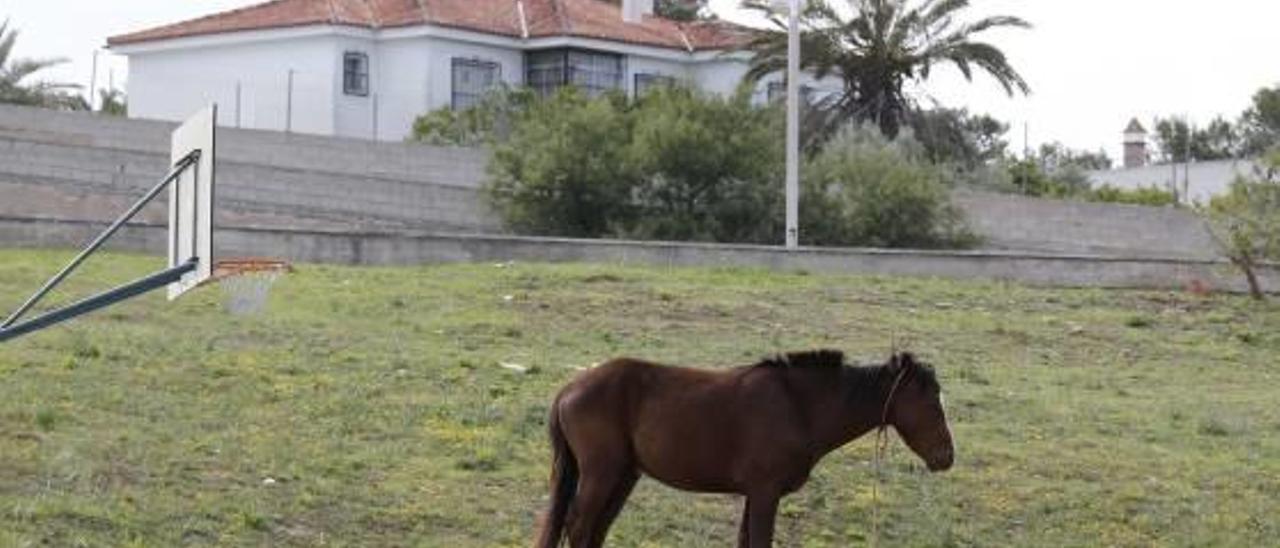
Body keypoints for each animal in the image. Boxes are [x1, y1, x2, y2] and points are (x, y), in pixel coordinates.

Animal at [529, 348, 952, 545]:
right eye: (932, 401)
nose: (947, 456)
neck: (798, 405)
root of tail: (570, 387)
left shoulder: (755, 493)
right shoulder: (765, 492)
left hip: (623, 475)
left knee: (594, 529)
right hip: (601, 473)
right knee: (579, 526)